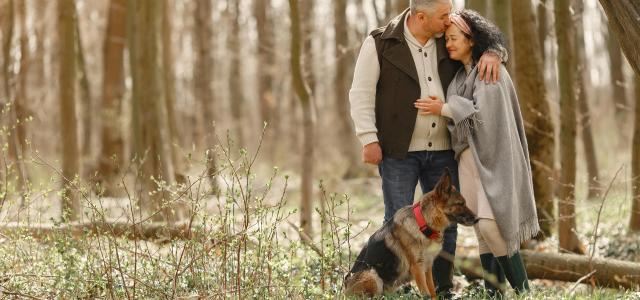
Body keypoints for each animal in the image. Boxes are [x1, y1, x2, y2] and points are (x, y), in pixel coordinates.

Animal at [344, 169, 476, 298]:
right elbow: (426, 294)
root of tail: (344, 289)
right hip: (372, 275)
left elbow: (432, 291)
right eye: (460, 204)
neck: (423, 223)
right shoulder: (417, 267)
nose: (477, 218)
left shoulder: (427, 266)